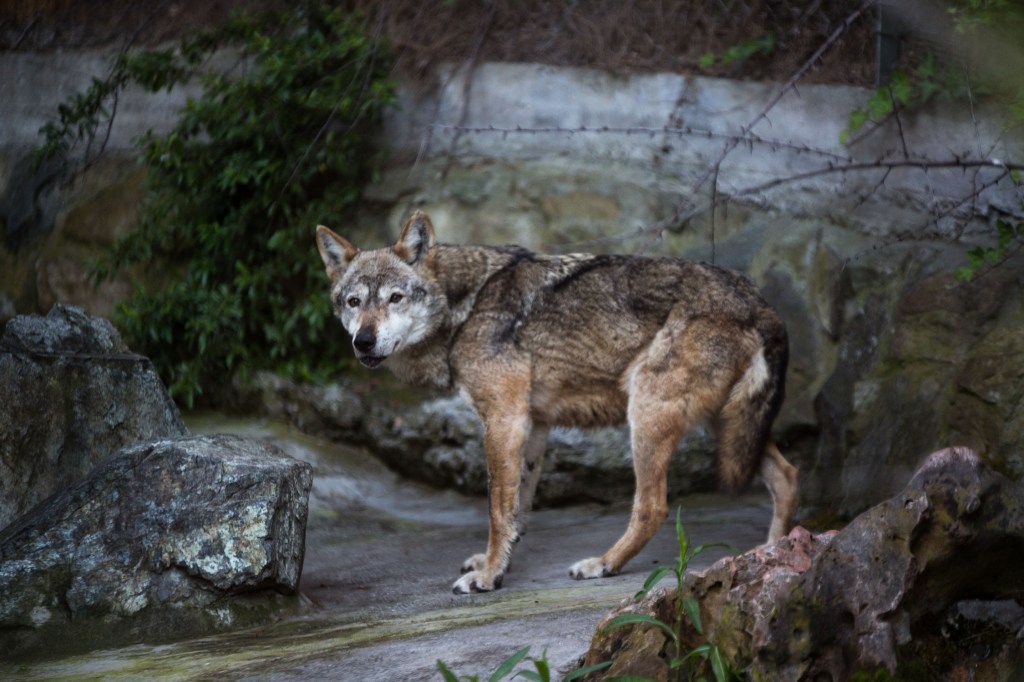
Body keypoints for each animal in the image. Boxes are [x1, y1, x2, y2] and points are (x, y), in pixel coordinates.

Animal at [315, 209, 794, 593]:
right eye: (354, 302)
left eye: (394, 298)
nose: (363, 341)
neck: (464, 307)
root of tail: (760, 303)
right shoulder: (533, 425)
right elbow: (516, 508)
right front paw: (497, 562)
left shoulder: (504, 419)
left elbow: (496, 509)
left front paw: (488, 577)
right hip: (725, 426)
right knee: (787, 475)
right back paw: (771, 559)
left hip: (648, 415)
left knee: (653, 507)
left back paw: (603, 564)